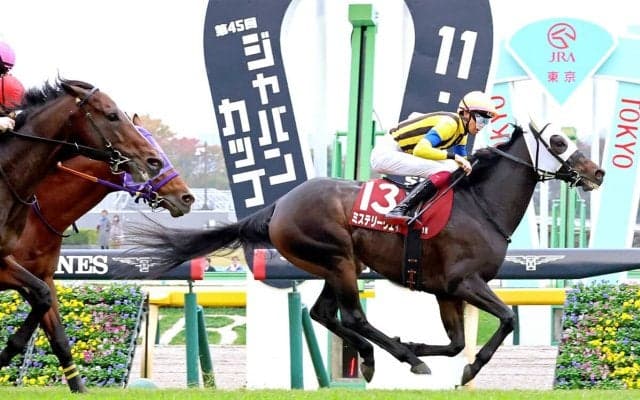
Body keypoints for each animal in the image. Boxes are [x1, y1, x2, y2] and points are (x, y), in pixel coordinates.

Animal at [0, 113, 194, 392]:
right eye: (154, 158)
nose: (186, 197)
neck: (37, 213)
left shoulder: (43, 278)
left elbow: (59, 338)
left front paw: (79, 388)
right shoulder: (8, 271)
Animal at [129, 121, 605, 386]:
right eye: (557, 141)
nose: (597, 172)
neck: (479, 205)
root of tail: (278, 205)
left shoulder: (446, 291)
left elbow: (455, 344)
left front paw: (418, 343)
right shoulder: (464, 282)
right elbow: (506, 319)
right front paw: (462, 368)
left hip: (331, 265)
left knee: (324, 313)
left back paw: (382, 356)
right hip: (338, 259)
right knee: (353, 316)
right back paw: (399, 359)